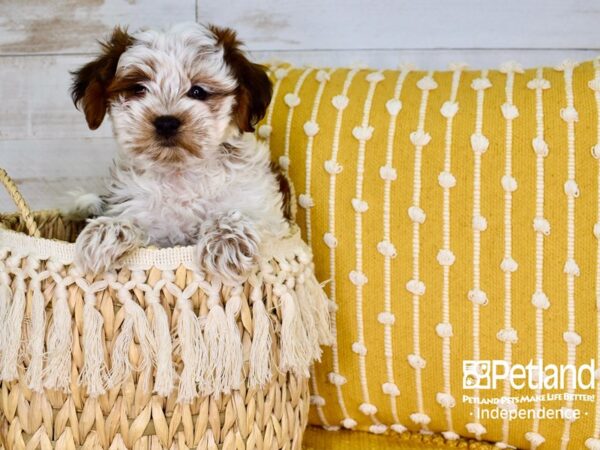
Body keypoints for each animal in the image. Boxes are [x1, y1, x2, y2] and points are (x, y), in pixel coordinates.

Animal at [69, 23, 292, 282]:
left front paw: (227, 242)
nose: (166, 123)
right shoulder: (148, 224)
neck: (180, 172)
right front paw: (105, 232)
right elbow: (131, 222)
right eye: (138, 89)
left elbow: (245, 216)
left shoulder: (268, 216)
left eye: (198, 92)